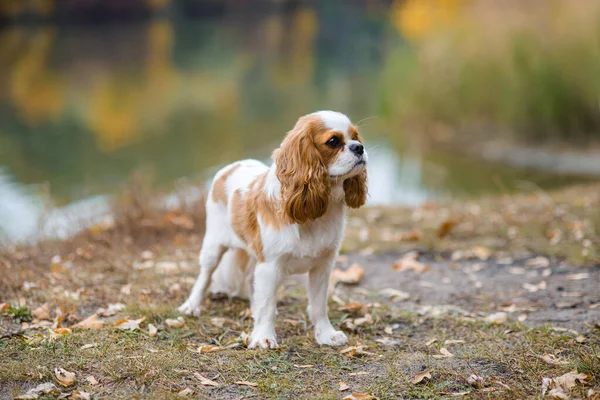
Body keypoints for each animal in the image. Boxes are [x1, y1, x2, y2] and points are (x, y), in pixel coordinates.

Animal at [178, 111, 366, 348]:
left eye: (356, 137)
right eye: (333, 141)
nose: (359, 147)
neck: (315, 215)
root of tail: (230, 167)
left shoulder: (322, 267)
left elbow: (319, 305)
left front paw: (326, 334)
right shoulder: (270, 265)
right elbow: (268, 305)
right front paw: (263, 338)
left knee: (250, 280)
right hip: (213, 246)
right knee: (204, 276)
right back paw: (191, 305)